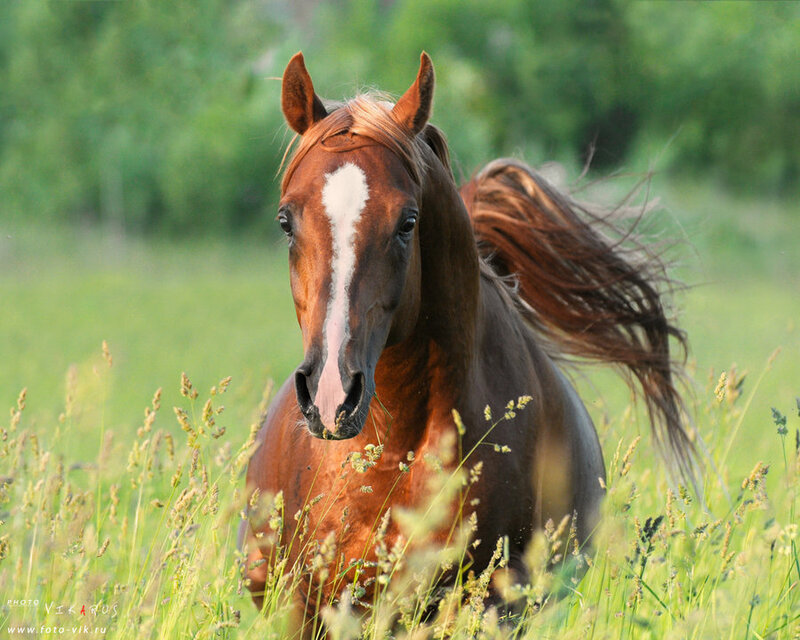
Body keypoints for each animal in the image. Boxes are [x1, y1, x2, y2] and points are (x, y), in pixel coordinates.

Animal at [239, 51, 692, 636]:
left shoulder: (488, 605)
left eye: (407, 221)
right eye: (285, 221)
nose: (332, 397)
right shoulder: (309, 610)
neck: (393, 453)